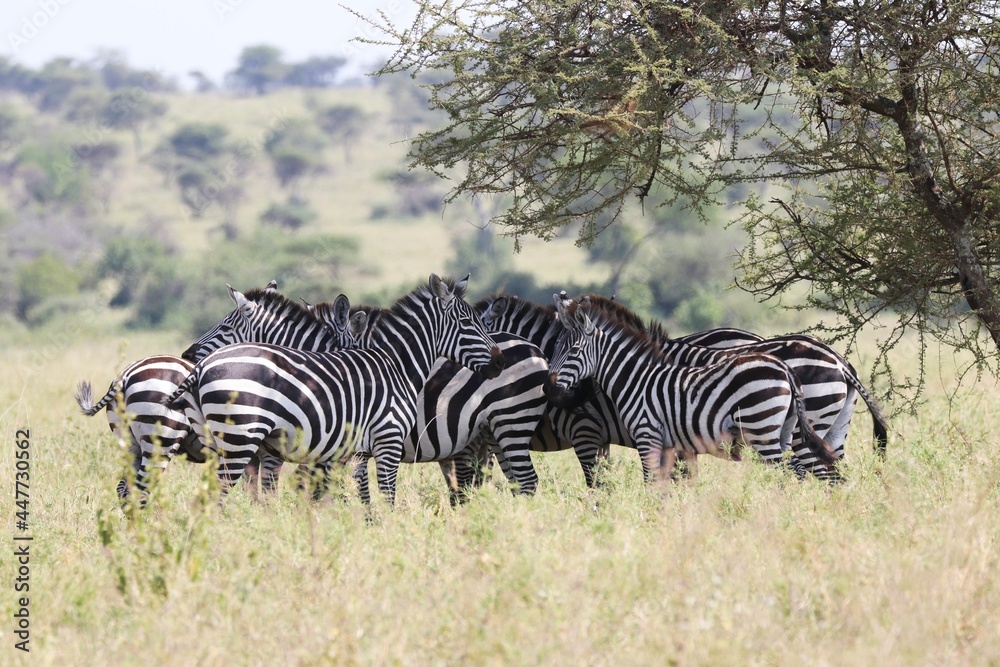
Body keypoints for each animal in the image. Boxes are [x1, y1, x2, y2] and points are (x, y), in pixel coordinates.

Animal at [75, 281, 365, 504]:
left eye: (225, 327)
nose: (187, 354)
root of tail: (124, 375)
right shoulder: (277, 450)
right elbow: (276, 492)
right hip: (160, 439)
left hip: (130, 442)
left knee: (126, 490)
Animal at [161, 274, 533, 504]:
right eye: (469, 323)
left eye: (225, 326)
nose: (499, 362)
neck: (395, 364)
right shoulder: (379, 443)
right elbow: (379, 496)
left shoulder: (350, 452)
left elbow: (359, 496)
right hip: (239, 439)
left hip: (504, 429)